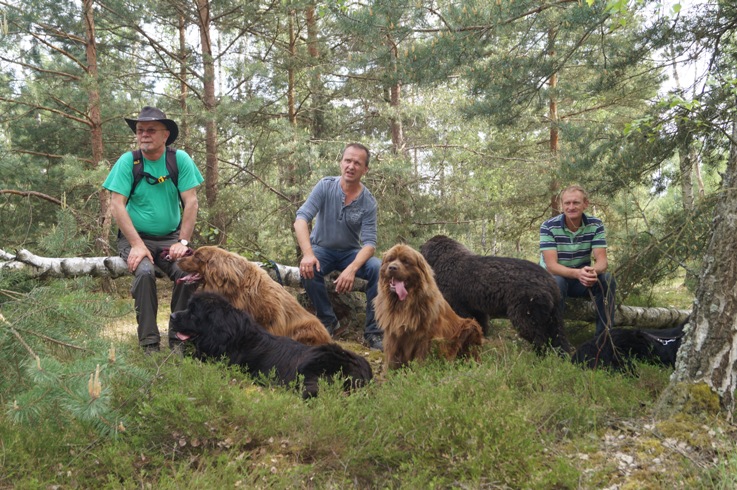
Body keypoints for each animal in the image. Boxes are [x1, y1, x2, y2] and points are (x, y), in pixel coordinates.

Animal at [420, 235, 568, 354]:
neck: (447, 261)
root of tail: (550, 281)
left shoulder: (457, 306)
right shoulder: (476, 308)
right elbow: (481, 325)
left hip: (526, 312)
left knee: (540, 338)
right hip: (553, 316)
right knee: (559, 338)